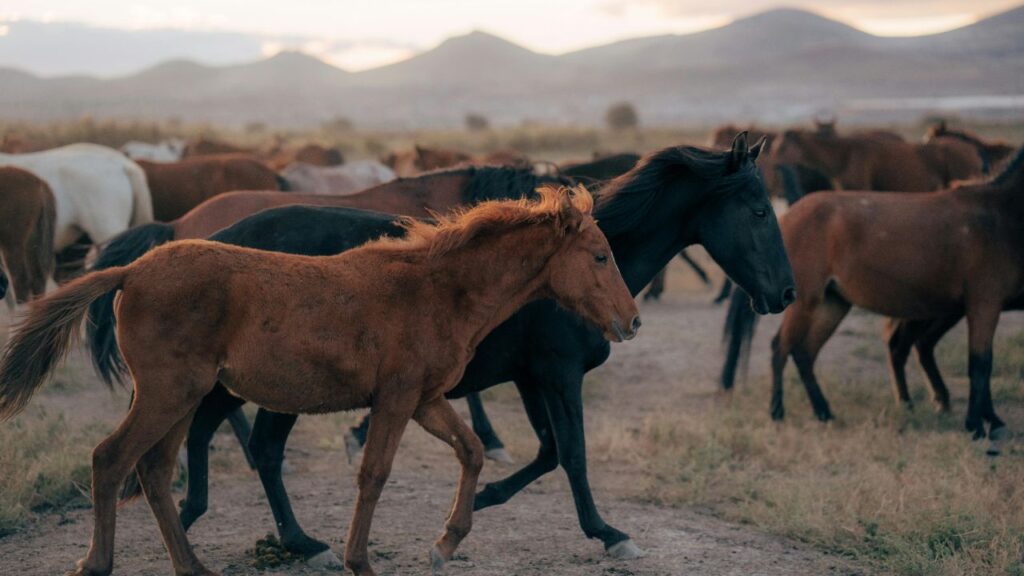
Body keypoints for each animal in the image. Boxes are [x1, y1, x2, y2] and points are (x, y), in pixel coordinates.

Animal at [0, 185, 640, 576]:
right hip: (168, 393)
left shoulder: (426, 399)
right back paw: (96, 563)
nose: (630, 322)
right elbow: (374, 474)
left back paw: (193, 566)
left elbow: (473, 451)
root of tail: (132, 270)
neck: (436, 288)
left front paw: (445, 542)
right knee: (111, 459)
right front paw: (360, 559)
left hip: (182, 398)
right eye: (601, 256)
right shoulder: (396, 399)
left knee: (154, 471)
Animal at [721, 146, 1024, 454]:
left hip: (832, 305)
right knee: (781, 348)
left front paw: (990, 421)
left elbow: (982, 365)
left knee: (805, 353)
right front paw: (976, 426)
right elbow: (980, 364)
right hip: (806, 303)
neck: (998, 216)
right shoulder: (984, 305)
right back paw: (778, 412)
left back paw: (824, 412)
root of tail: (787, 216)